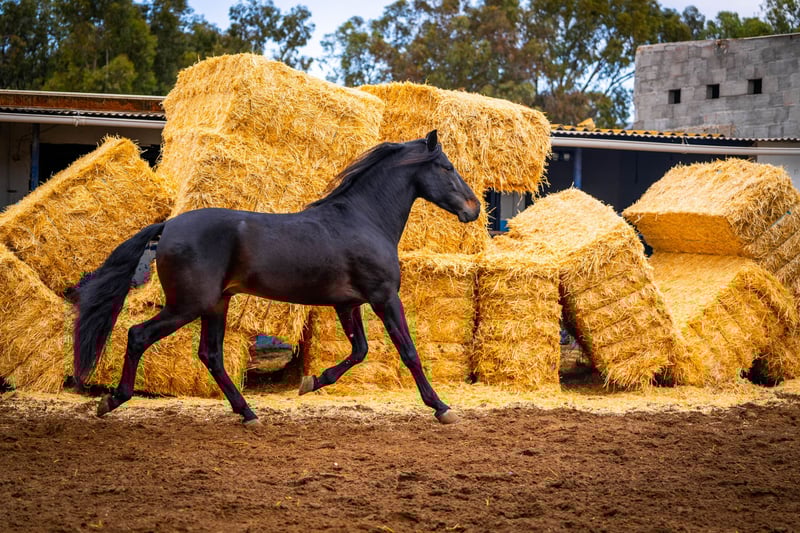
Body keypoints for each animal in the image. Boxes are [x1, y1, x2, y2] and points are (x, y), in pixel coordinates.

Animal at [73, 130, 481, 426]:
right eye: (447, 167)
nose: (474, 209)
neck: (363, 220)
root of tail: (169, 226)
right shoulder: (384, 297)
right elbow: (408, 352)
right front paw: (441, 408)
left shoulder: (348, 304)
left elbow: (359, 350)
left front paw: (311, 382)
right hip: (187, 305)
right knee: (138, 335)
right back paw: (112, 400)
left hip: (216, 304)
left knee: (211, 355)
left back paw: (248, 413)